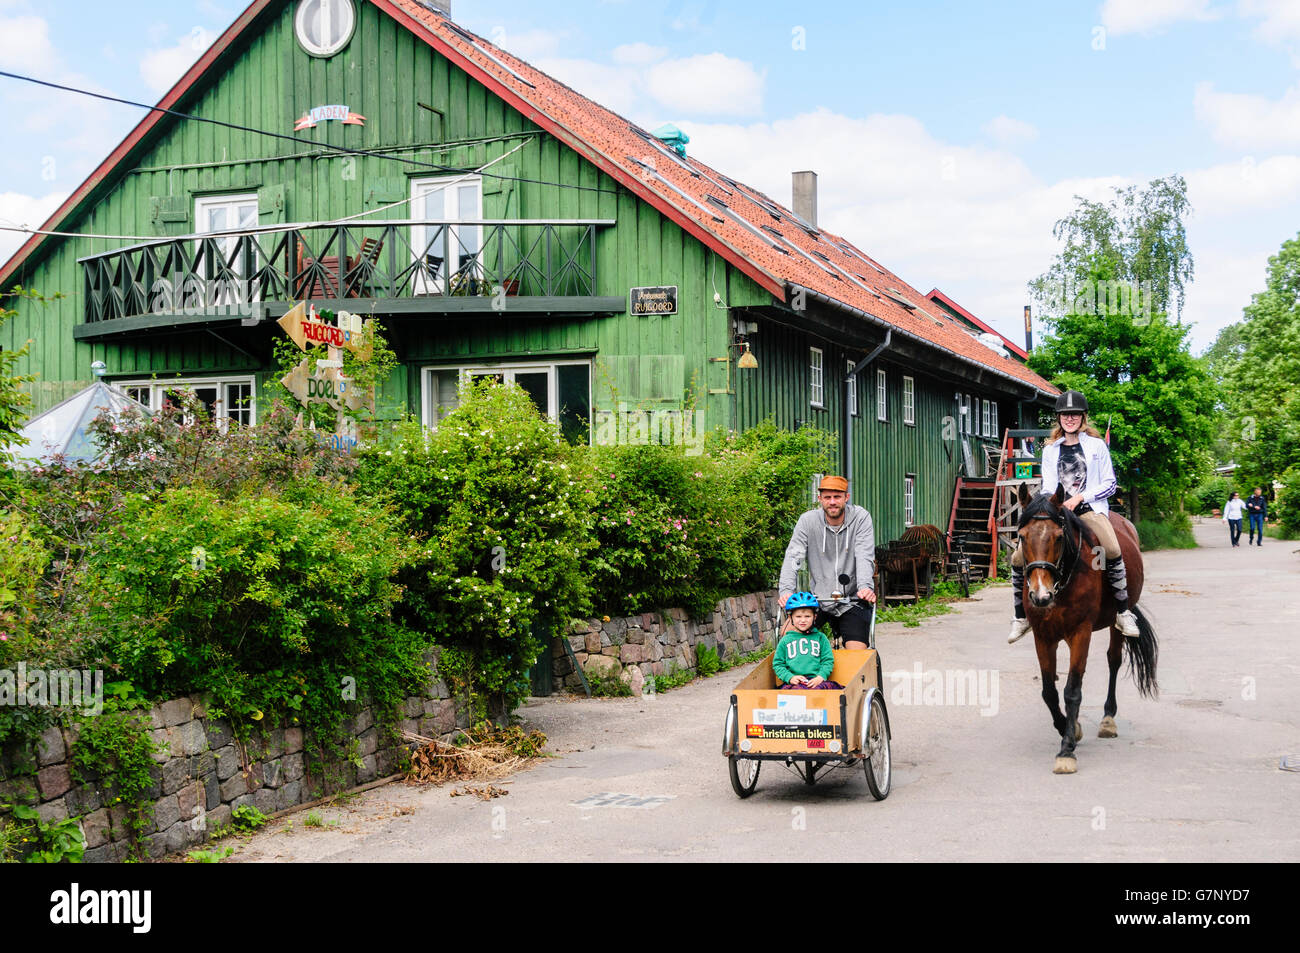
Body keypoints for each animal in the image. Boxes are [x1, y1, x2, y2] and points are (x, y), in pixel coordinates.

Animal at [1013, 483, 1159, 774]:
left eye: (1059, 537)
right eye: (1022, 537)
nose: (1040, 596)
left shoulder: (1080, 632)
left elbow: (1072, 690)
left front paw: (1067, 749)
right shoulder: (1043, 635)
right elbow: (1049, 690)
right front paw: (1069, 728)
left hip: (1115, 620)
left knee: (1114, 659)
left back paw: (1108, 719)